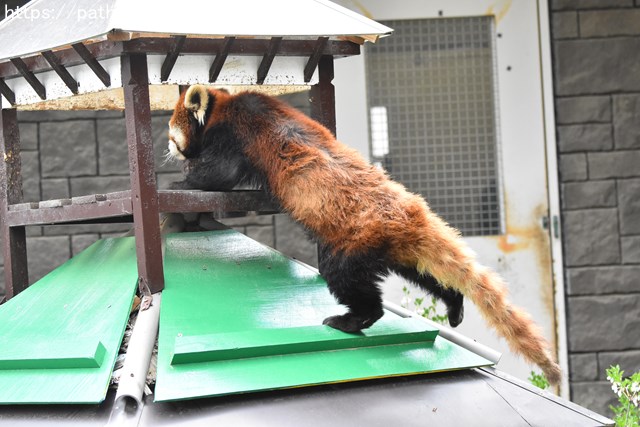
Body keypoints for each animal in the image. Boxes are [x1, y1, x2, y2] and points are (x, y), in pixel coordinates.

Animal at [168, 83, 564, 384]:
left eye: (171, 135)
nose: (170, 151)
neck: (225, 104)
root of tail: (412, 214)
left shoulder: (235, 134)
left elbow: (218, 175)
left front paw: (181, 181)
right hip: (398, 253)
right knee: (427, 277)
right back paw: (453, 305)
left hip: (350, 246)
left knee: (351, 284)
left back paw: (350, 319)